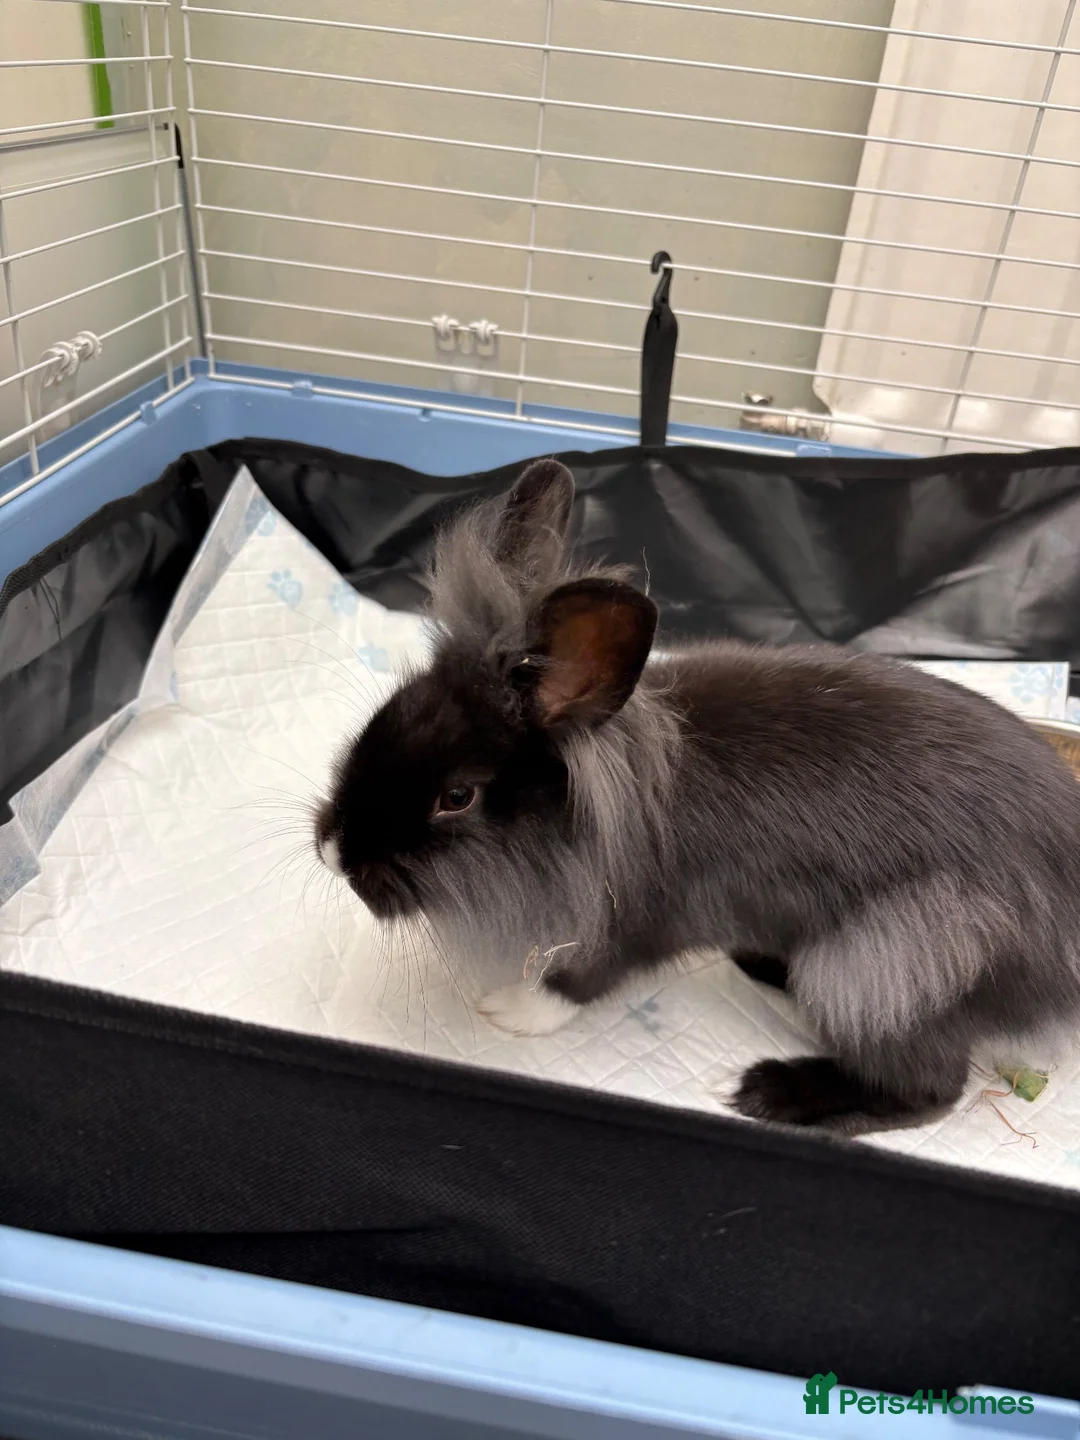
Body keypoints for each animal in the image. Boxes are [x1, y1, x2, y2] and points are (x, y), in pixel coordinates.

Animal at [315, 457, 1080, 1134]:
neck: (595, 813)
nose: (333, 851)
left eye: (456, 796)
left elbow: (576, 982)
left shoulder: (631, 925)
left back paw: (774, 1095)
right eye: (386, 717)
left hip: (885, 966)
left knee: (930, 1087)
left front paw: (510, 1009)